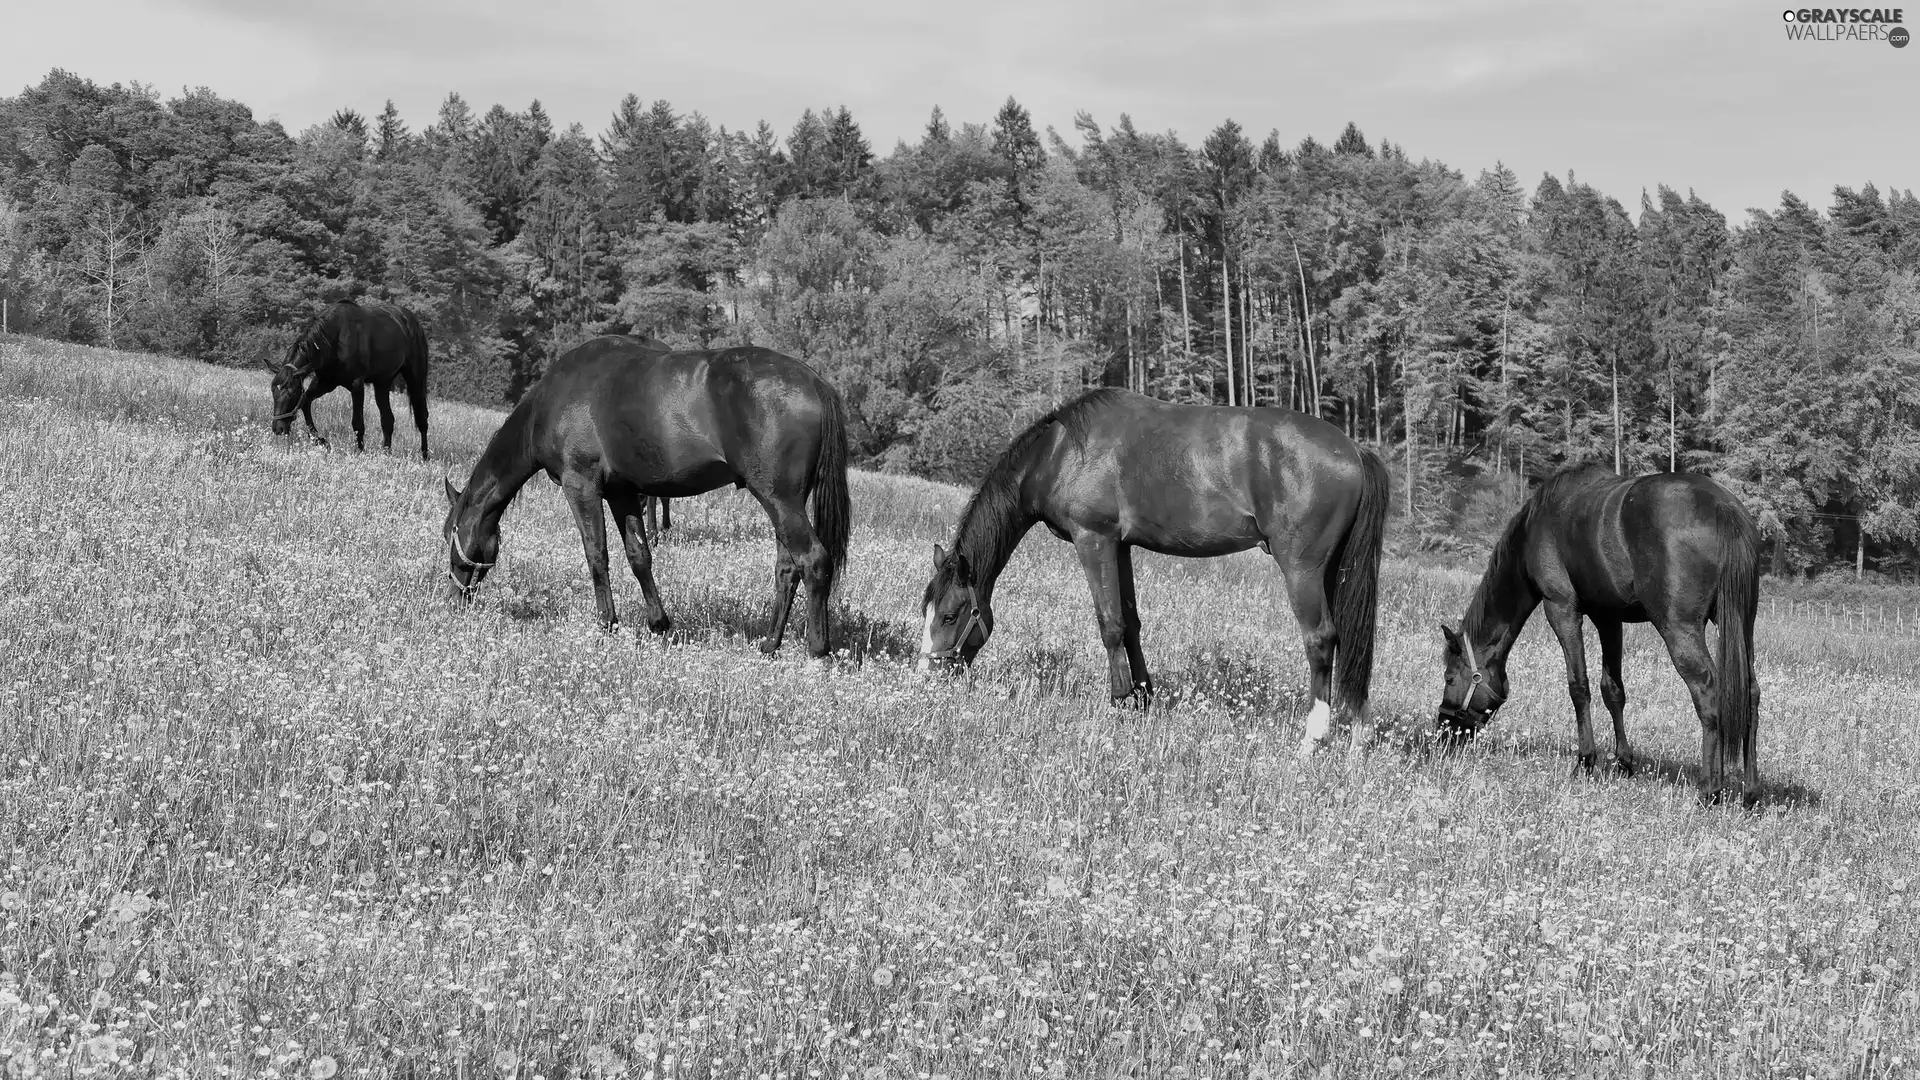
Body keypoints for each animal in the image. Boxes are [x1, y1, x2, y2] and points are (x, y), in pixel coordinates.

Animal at [270, 297, 432, 457]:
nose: (278, 428)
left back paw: (424, 456)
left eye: (291, 393)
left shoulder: (356, 385)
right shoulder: (325, 382)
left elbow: (357, 423)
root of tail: (413, 322)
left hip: (415, 378)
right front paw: (321, 441)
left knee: (422, 418)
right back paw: (386, 454)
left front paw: (358, 452)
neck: (335, 339)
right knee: (387, 419)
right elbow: (305, 402)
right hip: (382, 383)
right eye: (273, 392)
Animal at [445, 336, 852, 657]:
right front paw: (659, 624)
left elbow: (597, 556)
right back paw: (770, 644)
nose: (453, 600)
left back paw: (817, 651)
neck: (555, 397)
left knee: (813, 561)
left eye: (450, 534)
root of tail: (816, 382)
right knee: (788, 568)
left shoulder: (582, 487)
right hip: (785, 503)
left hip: (779, 499)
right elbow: (639, 556)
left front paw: (607, 625)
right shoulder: (622, 492)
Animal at [917, 384, 1390, 749]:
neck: (1061, 453)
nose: (925, 676)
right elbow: (1131, 622)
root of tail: (1354, 450)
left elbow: (1109, 624)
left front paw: (1118, 701)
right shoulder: (1121, 546)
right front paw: (1144, 699)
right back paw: (1358, 738)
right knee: (1351, 640)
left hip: (1302, 570)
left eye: (950, 615)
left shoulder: (1094, 539)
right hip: (1335, 571)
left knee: (1321, 640)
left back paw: (1312, 740)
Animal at [1436, 463, 1758, 799]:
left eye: (1449, 678)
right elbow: (1612, 690)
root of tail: (1723, 508)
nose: (1444, 731)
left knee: (1708, 692)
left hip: (1679, 629)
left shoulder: (1561, 609)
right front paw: (1624, 762)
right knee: (1749, 693)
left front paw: (1585, 761)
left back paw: (1710, 790)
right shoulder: (1608, 618)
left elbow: (1579, 687)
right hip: (1741, 625)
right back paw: (1750, 792)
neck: (1535, 526)